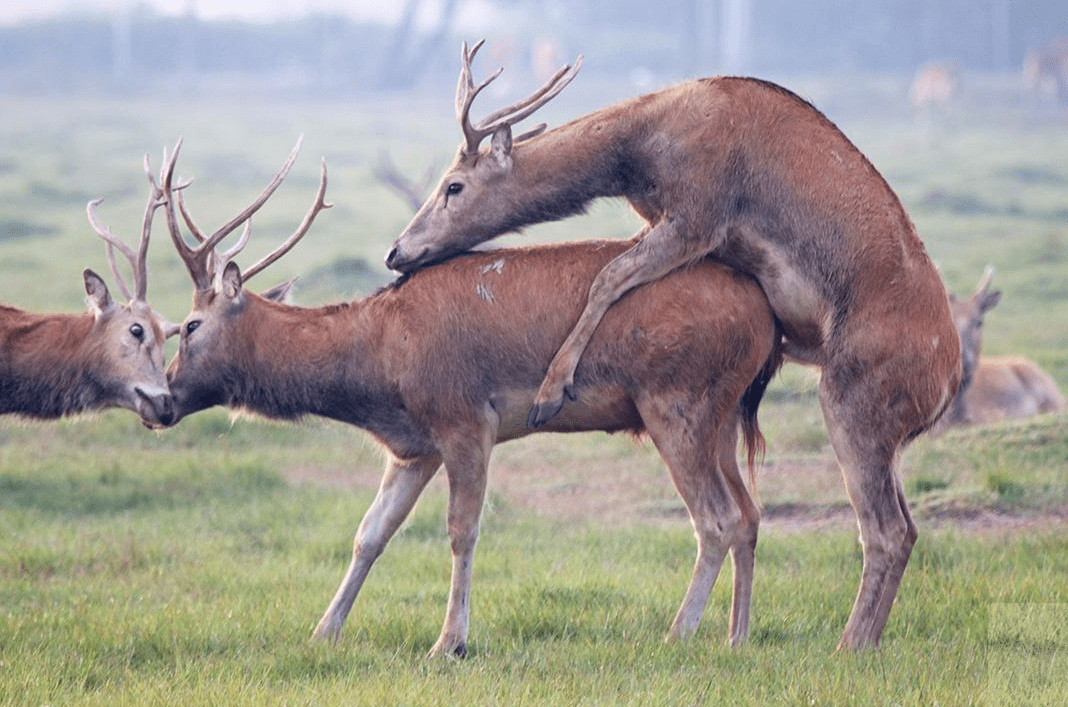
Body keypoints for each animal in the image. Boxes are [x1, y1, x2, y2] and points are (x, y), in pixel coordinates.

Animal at [146, 140, 786, 662]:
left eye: (189, 326)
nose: (162, 400)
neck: (378, 363)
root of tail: (766, 318)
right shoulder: (413, 446)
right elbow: (369, 532)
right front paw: (323, 631)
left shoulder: (464, 417)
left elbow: (461, 529)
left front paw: (449, 642)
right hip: (722, 413)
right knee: (751, 513)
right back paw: (737, 637)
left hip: (676, 400)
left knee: (717, 518)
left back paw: (679, 633)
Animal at [382, 38, 961, 649]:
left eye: (454, 185)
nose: (396, 252)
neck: (639, 153)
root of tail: (947, 380)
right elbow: (612, 269)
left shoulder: (697, 216)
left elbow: (608, 275)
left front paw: (551, 391)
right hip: (889, 435)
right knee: (907, 526)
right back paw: (852, 639)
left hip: (853, 399)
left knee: (884, 529)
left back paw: (847, 645)